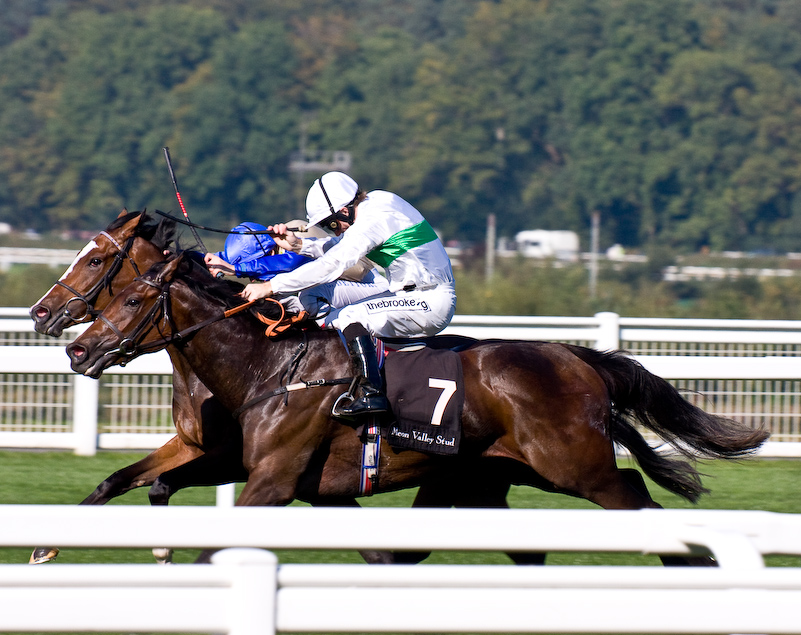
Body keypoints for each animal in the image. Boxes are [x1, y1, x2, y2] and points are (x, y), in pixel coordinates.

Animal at [65, 256, 764, 564]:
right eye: (112, 291)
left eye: (130, 298)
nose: (76, 346)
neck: (273, 368)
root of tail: (575, 357)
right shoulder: (291, 478)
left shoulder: (274, 480)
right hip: (483, 480)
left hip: (574, 468)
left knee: (636, 496)